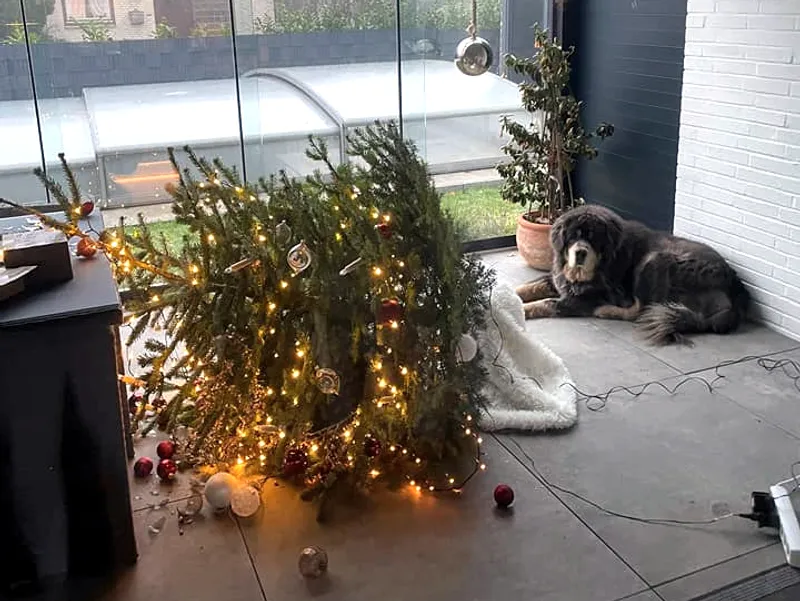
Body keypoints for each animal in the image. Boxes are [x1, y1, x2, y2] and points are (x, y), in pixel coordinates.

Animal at [515, 205, 750, 345]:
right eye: (573, 236)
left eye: (594, 239)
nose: (580, 252)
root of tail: (735, 285)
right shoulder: (558, 280)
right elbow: (527, 287)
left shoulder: (582, 299)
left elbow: (544, 303)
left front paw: (521, 310)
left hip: (653, 260)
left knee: (641, 310)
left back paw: (606, 311)